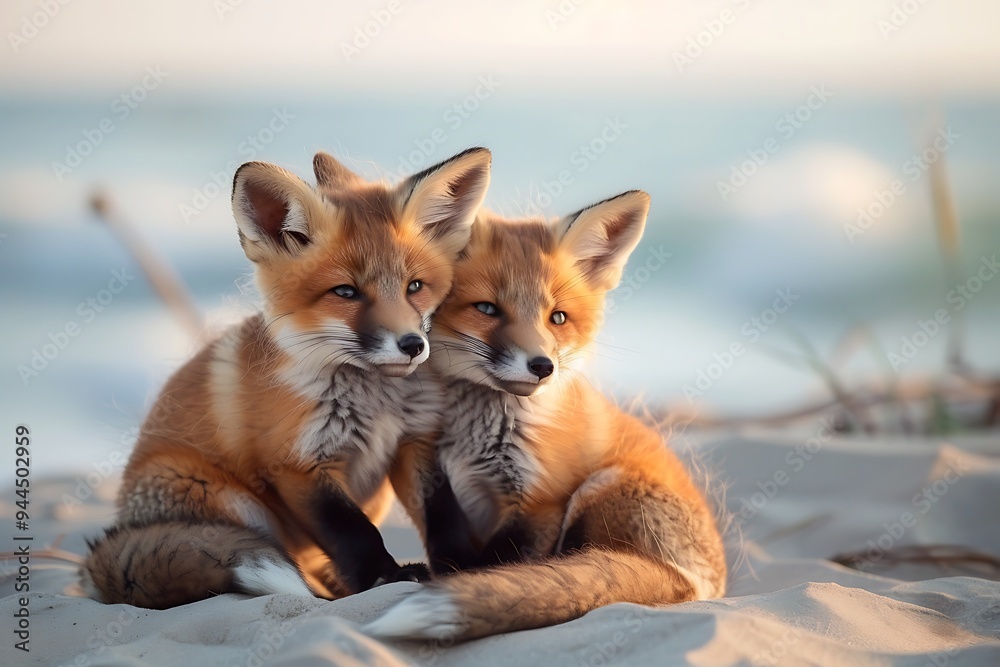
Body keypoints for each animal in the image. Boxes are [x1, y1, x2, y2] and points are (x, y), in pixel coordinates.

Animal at [80, 146, 492, 609]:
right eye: (346, 292)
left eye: (415, 286)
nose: (411, 345)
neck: (377, 402)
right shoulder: (297, 464)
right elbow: (353, 532)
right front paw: (386, 578)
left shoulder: (415, 441)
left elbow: (442, 515)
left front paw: (462, 569)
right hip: (225, 498)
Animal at [370, 191, 726, 641]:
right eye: (487, 308)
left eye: (557, 318)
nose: (542, 366)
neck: (474, 437)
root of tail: (703, 586)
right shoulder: (420, 467)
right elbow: (445, 542)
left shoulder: (541, 501)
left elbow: (501, 564)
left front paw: (477, 586)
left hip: (601, 487)